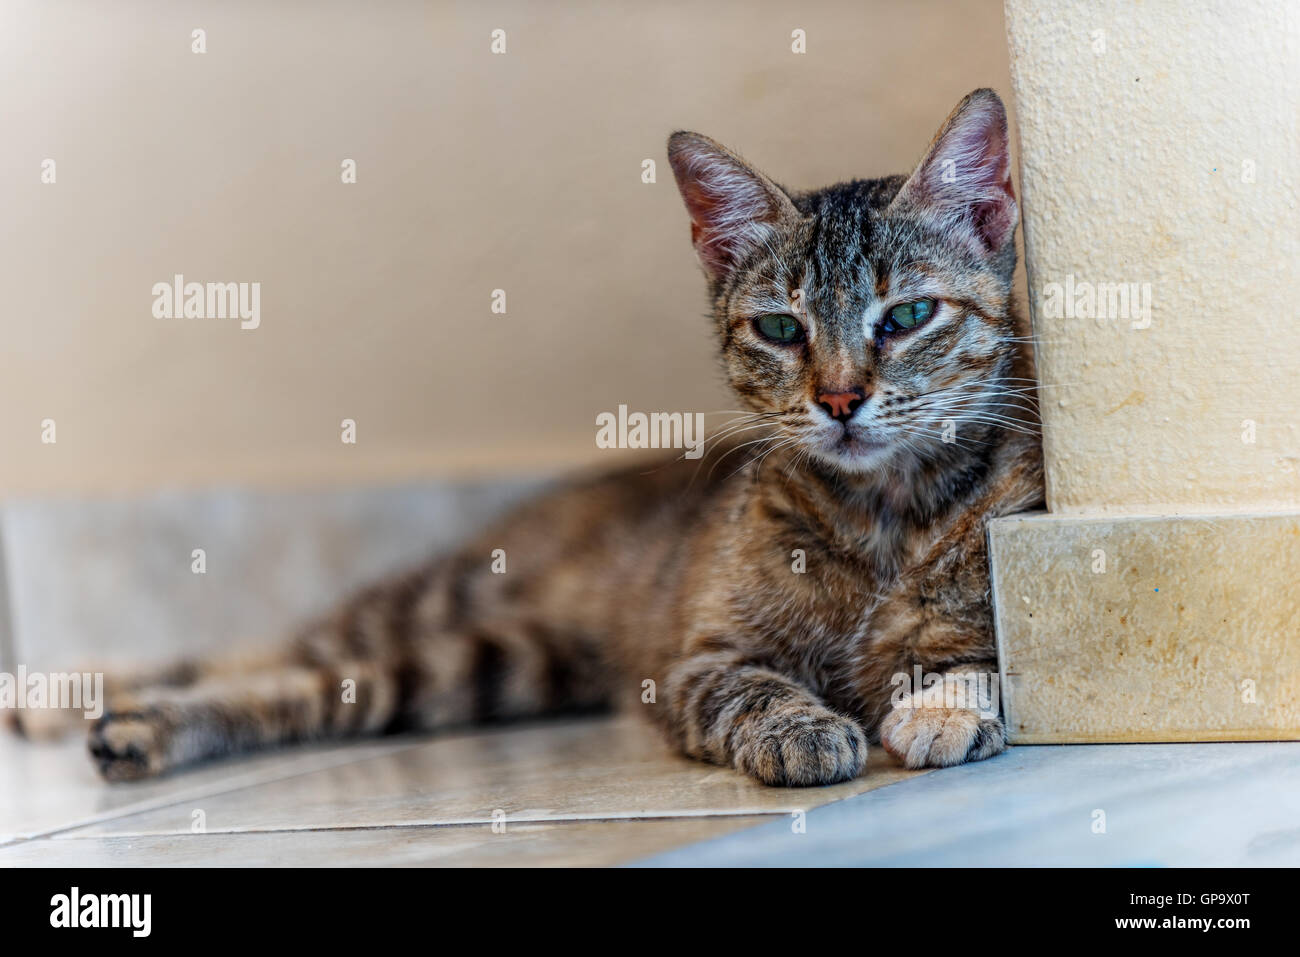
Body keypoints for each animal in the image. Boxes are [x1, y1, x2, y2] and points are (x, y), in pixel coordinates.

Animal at [65, 87, 1050, 785]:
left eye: (909, 315)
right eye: (779, 329)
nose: (841, 398)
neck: (882, 511)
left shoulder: (995, 599)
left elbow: (980, 658)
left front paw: (944, 705)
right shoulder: (697, 659)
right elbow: (751, 687)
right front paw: (801, 725)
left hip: (488, 665)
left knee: (314, 683)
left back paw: (139, 727)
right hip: (445, 603)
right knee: (270, 649)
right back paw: (88, 696)